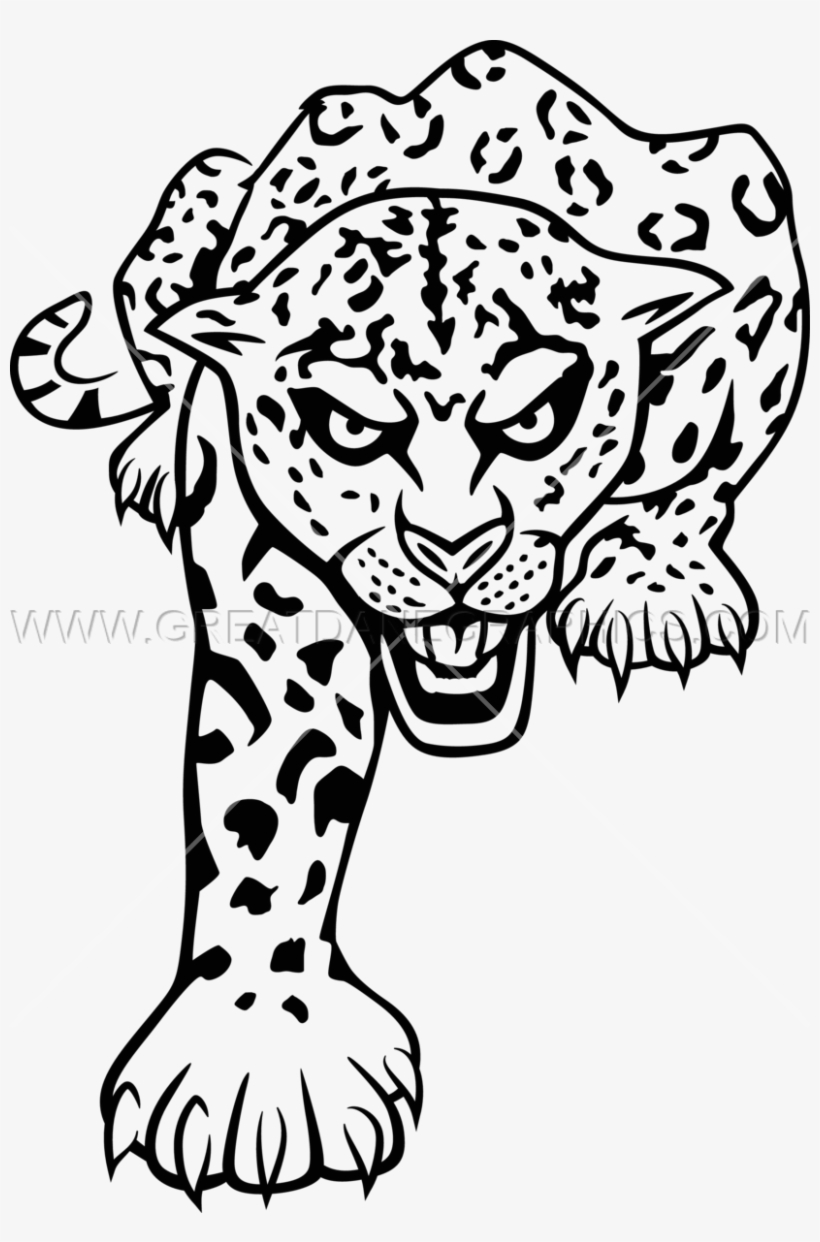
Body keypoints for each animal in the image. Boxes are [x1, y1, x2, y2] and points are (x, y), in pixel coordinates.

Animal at [10, 41, 807, 1206]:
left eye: (535, 418)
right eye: (348, 428)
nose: (453, 547)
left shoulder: (749, 228)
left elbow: (705, 450)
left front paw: (651, 584)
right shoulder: (270, 579)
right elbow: (267, 801)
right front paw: (255, 1052)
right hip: (190, 208)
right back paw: (158, 448)